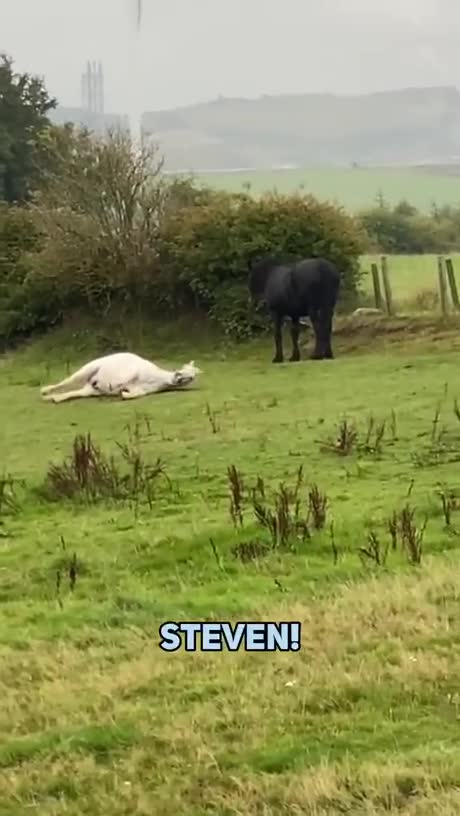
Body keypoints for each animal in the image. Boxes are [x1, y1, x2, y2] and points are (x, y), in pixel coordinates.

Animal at [40, 352, 202, 403]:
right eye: (181, 369)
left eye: (192, 377)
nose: (177, 378)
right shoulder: (133, 371)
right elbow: (126, 379)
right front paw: (117, 388)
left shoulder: (141, 390)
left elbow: (134, 395)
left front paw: (122, 394)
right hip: (89, 368)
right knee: (66, 382)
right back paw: (44, 390)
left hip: (90, 390)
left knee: (74, 392)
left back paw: (53, 398)